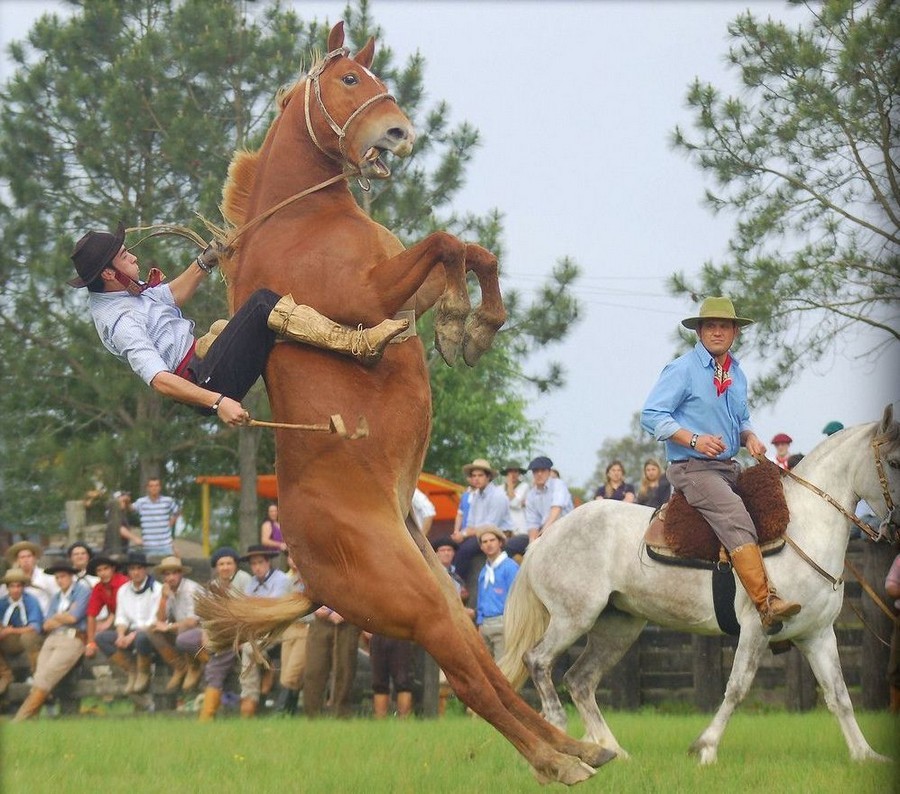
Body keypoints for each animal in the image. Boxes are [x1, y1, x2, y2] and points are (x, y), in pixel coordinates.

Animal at [195, 22, 613, 785]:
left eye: (378, 76)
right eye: (349, 80)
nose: (399, 131)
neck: (301, 220)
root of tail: (310, 576)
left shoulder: (397, 287)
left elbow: (467, 250)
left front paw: (464, 325)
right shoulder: (363, 295)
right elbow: (448, 242)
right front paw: (464, 323)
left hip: (440, 591)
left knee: (485, 669)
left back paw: (575, 748)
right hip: (414, 604)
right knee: (472, 683)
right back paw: (559, 761)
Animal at [499, 405, 899, 764]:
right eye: (894, 462)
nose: (896, 528)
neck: (801, 526)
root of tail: (543, 539)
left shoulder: (818, 635)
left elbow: (840, 696)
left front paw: (865, 754)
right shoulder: (757, 628)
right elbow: (736, 689)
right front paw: (705, 748)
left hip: (618, 628)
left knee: (580, 680)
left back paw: (611, 751)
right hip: (574, 618)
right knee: (538, 661)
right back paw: (560, 731)